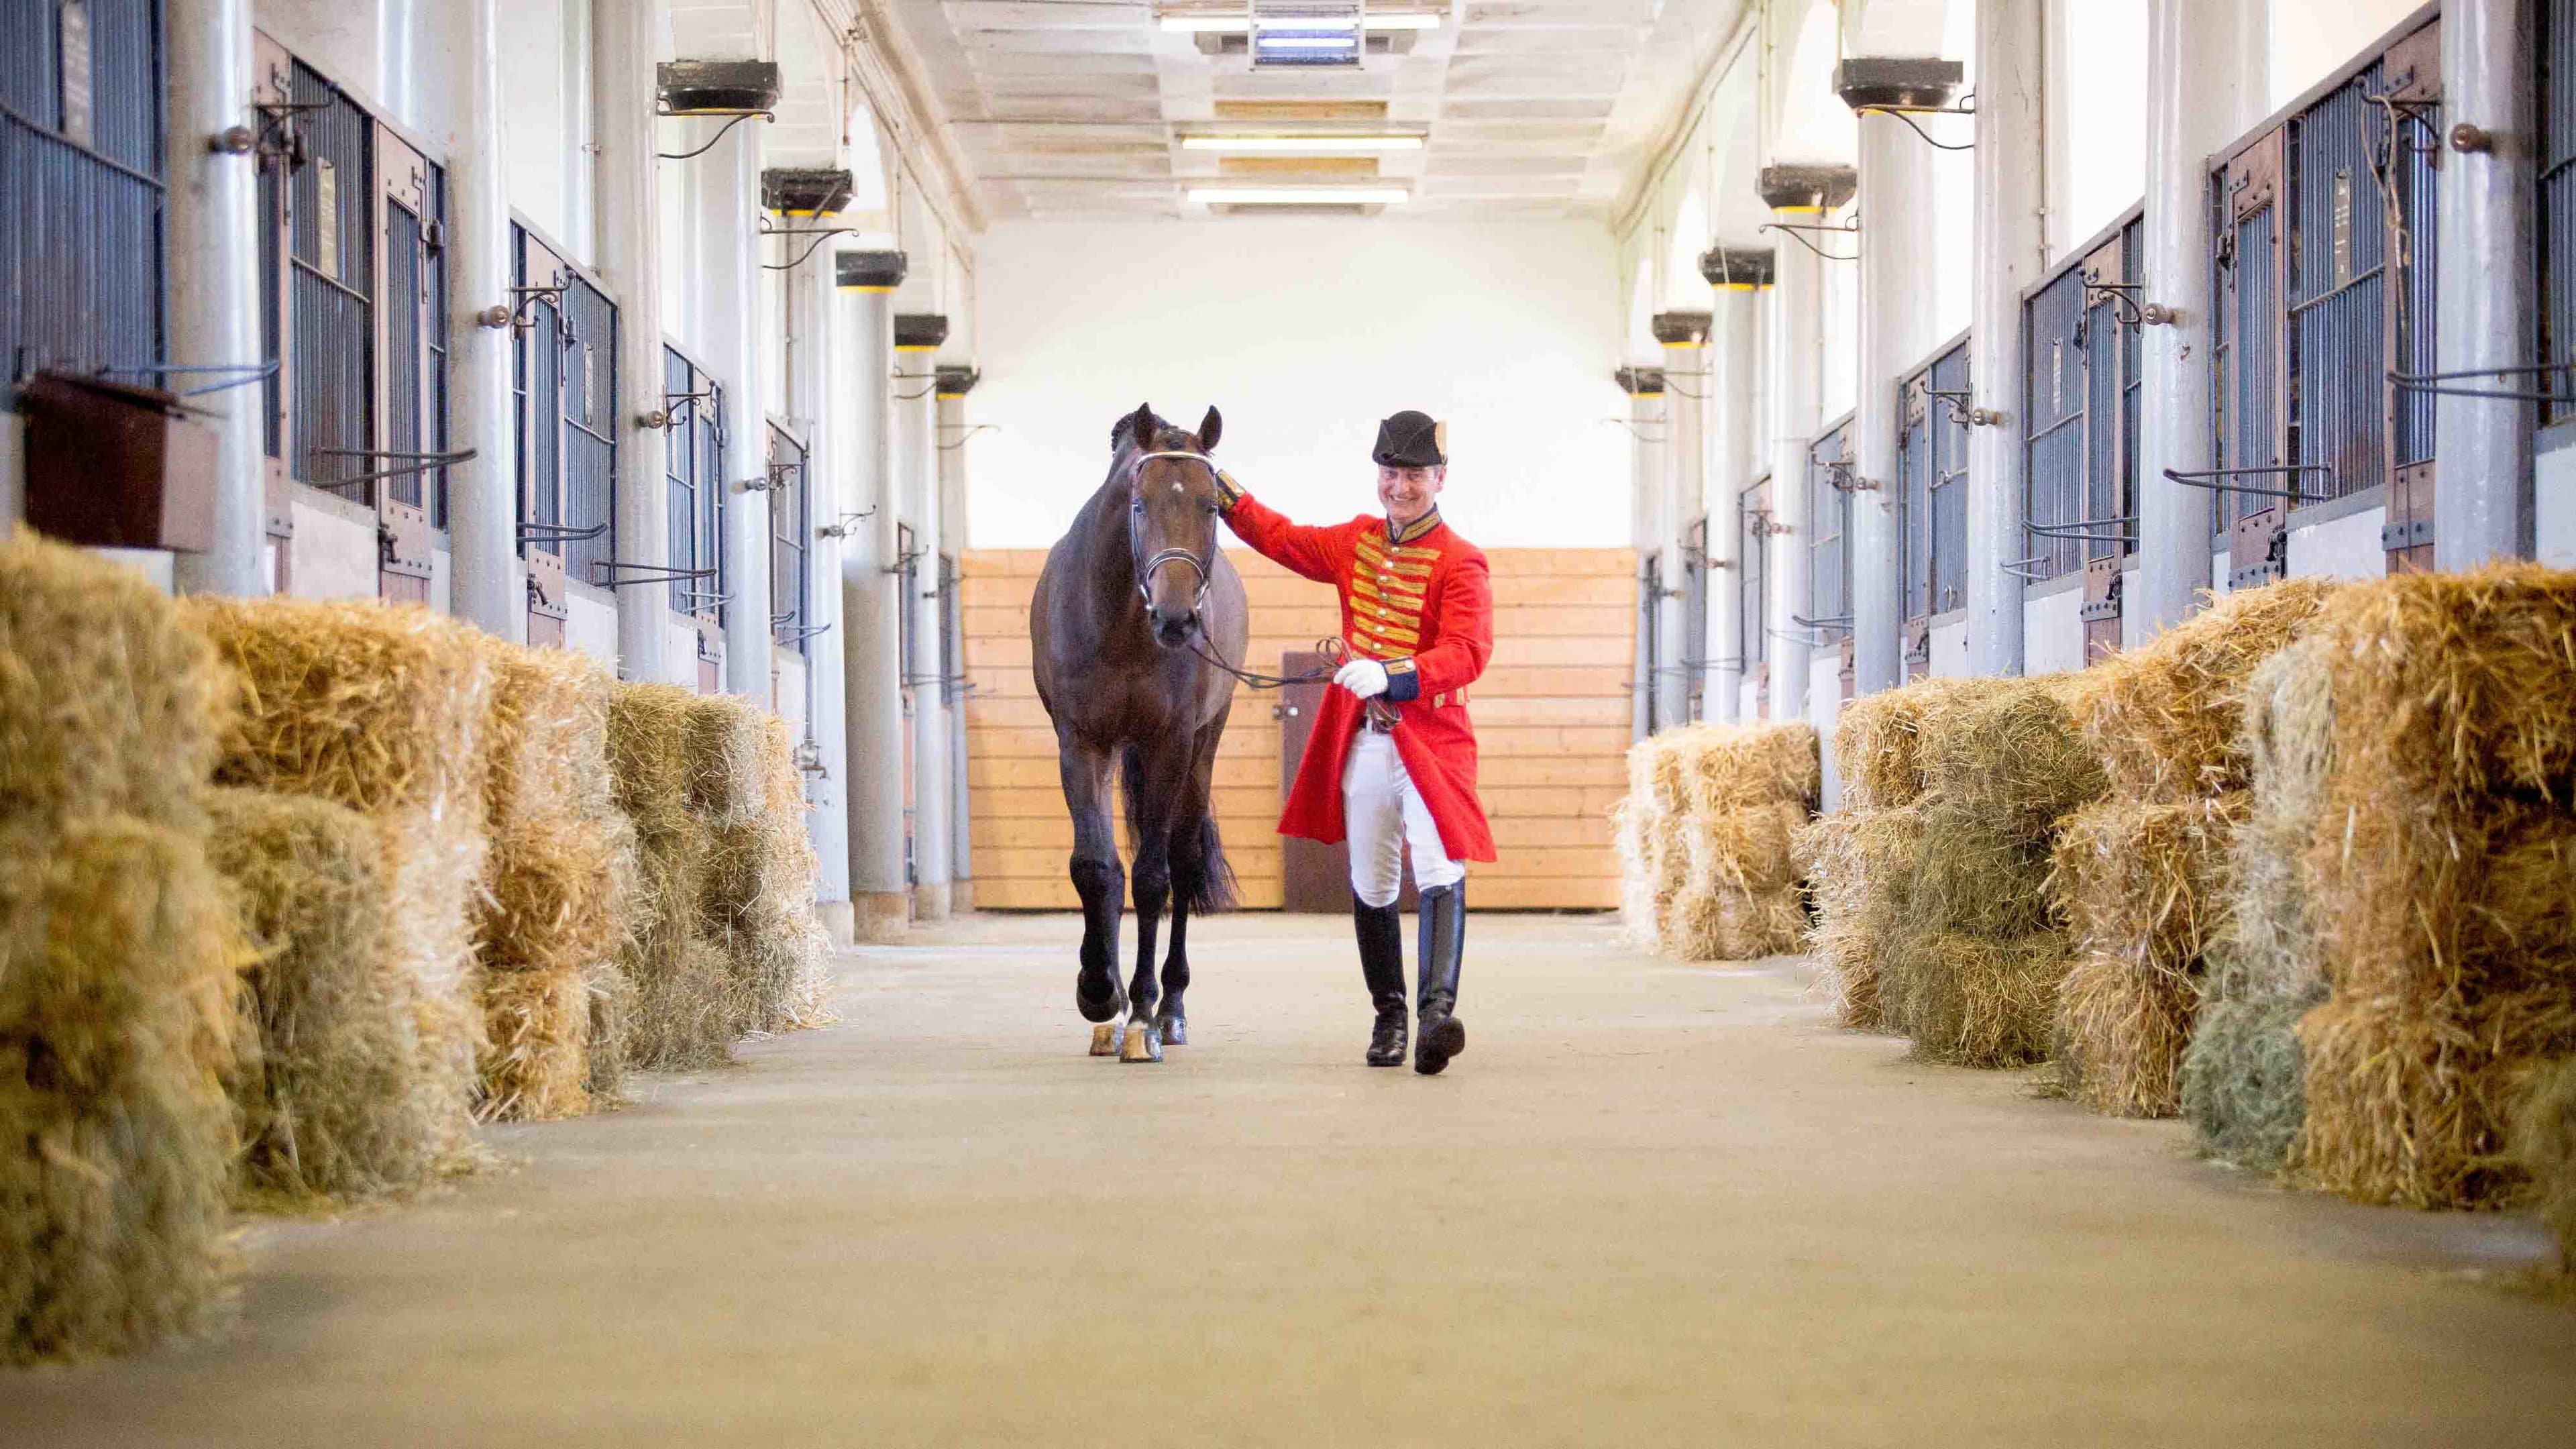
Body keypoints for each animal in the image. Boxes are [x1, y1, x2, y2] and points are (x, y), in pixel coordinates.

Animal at [1030, 402, 1249, 1063]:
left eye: (1211, 505)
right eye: (1139, 504)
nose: (1177, 619)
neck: (1123, 621)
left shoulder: (1169, 743)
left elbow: (1154, 877)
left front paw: (1142, 1015)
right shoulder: (1081, 742)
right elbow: (1096, 868)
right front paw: (1100, 994)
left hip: (1202, 747)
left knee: (1183, 862)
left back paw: (1170, 1009)